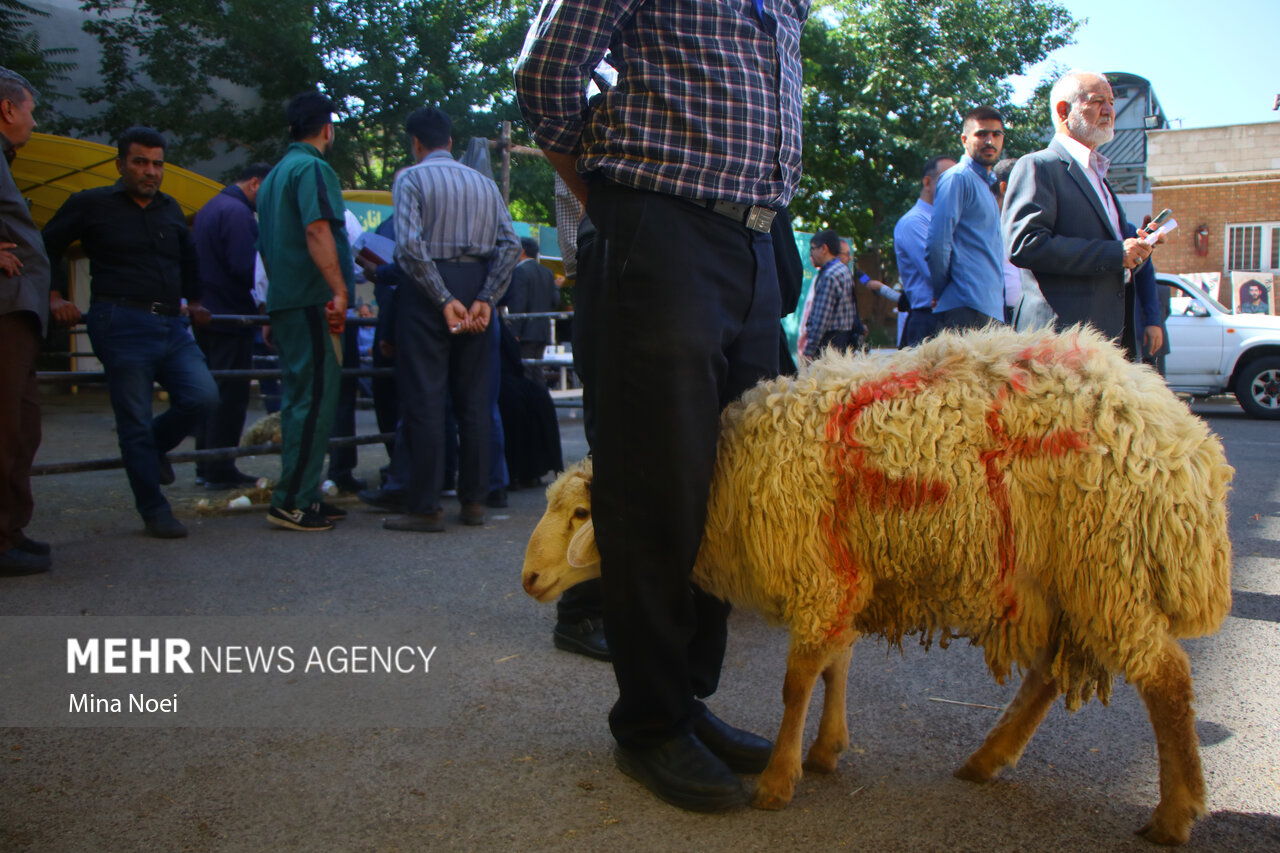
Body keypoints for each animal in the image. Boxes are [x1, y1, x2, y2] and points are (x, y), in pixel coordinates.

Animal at [519, 322, 1228, 840]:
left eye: (581, 514)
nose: (528, 579)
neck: (728, 480)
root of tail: (1188, 442)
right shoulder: (844, 574)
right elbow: (837, 663)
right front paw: (826, 750)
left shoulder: (818, 572)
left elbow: (797, 682)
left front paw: (778, 780)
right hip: (1064, 575)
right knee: (1050, 673)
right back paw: (987, 759)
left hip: (1108, 565)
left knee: (1166, 679)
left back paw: (1174, 813)